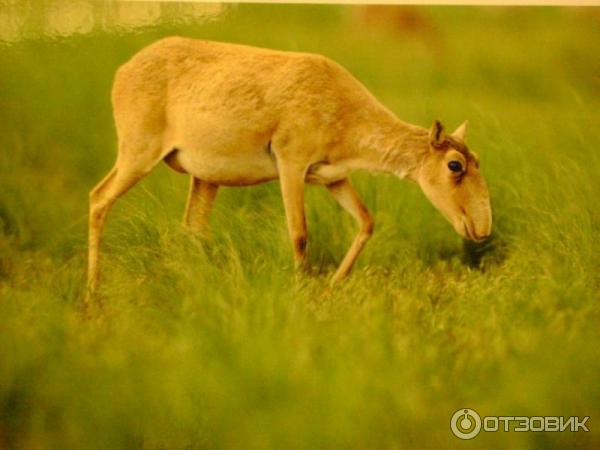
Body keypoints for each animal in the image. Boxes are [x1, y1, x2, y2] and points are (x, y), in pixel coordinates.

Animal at [88, 37, 492, 296]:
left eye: (476, 159)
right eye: (455, 165)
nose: (482, 227)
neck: (344, 110)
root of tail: (122, 71)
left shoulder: (333, 177)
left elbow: (366, 221)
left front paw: (332, 285)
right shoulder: (291, 164)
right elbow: (299, 233)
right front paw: (303, 292)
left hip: (204, 177)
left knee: (193, 228)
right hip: (138, 153)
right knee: (98, 198)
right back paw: (93, 294)